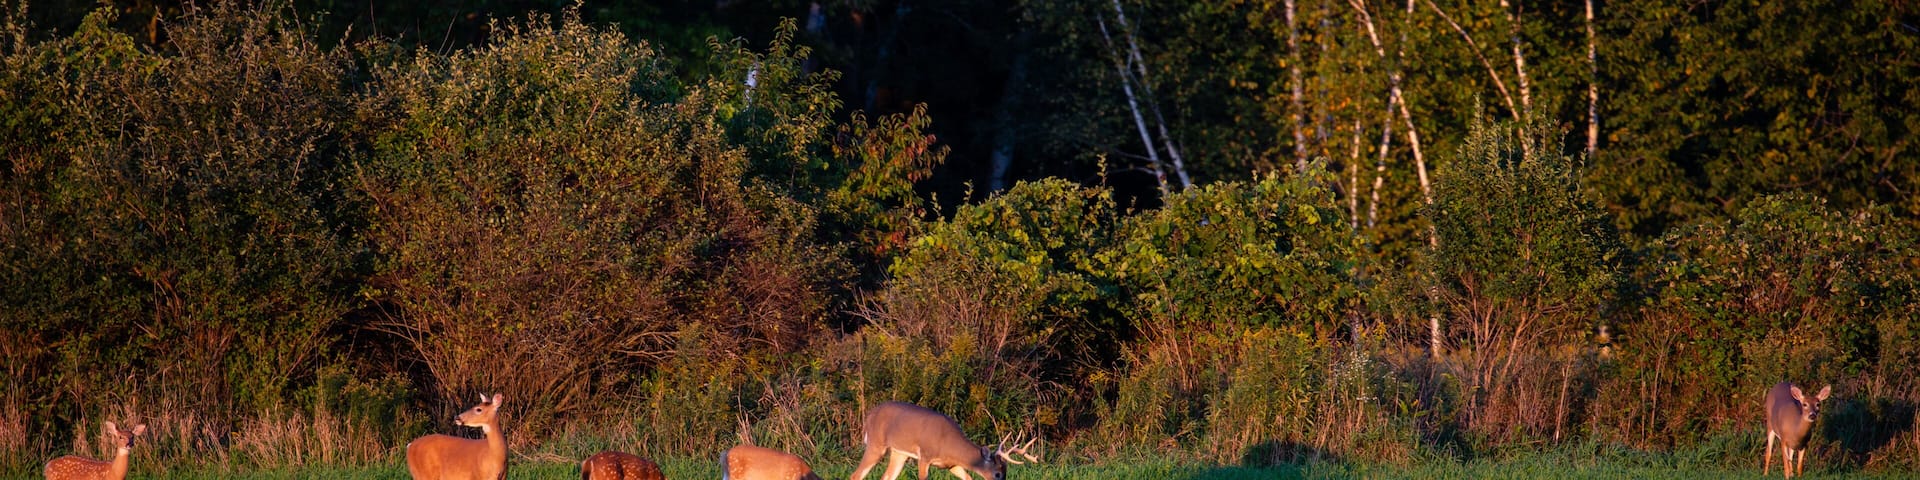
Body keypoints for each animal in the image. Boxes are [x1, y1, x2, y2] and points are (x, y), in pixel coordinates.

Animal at [849, 401, 1038, 480]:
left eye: (1006, 473)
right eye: (997, 474)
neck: (948, 444)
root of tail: (868, 416)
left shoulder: (952, 465)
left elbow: (968, 478)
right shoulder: (925, 456)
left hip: (899, 453)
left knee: (886, 477)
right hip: (876, 444)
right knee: (855, 475)